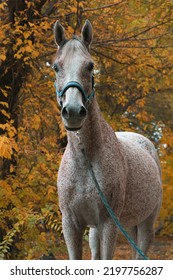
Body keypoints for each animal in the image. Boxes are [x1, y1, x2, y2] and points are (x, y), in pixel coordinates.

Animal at [53, 20, 162, 260]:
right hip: (104, 230)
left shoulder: (108, 224)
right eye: (56, 67)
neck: (86, 158)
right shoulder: (71, 225)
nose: (73, 112)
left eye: (90, 66)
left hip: (145, 225)